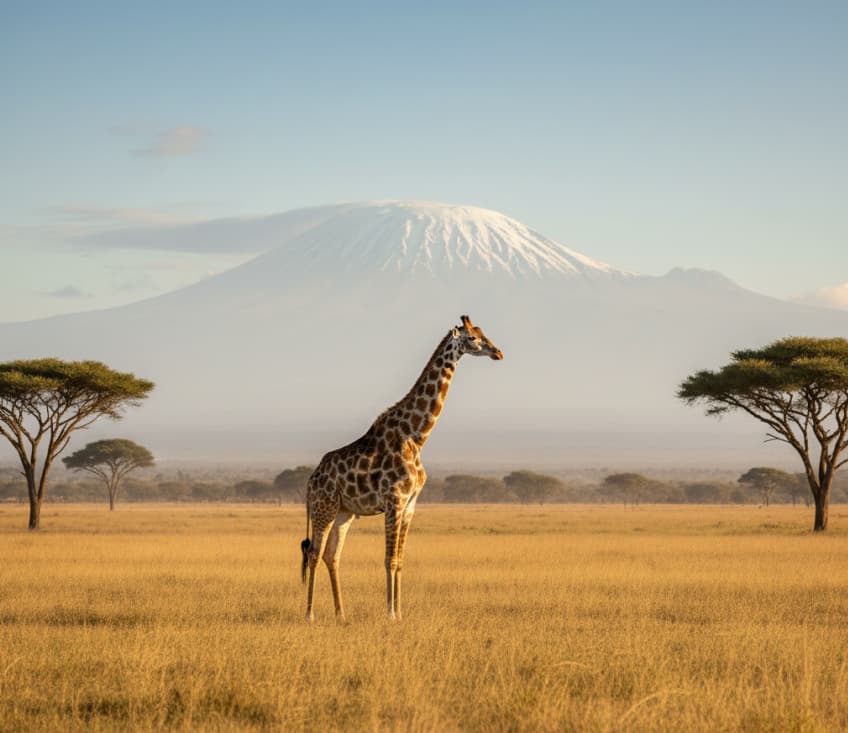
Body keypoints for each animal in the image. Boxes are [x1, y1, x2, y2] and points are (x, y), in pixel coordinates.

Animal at [301, 314, 503, 622]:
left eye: (483, 333)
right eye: (472, 338)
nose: (498, 353)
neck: (416, 437)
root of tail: (310, 481)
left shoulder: (410, 506)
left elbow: (399, 561)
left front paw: (399, 613)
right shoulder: (394, 501)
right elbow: (389, 559)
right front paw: (390, 614)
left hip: (344, 512)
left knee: (331, 555)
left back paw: (341, 613)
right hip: (324, 508)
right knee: (314, 553)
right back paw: (310, 614)